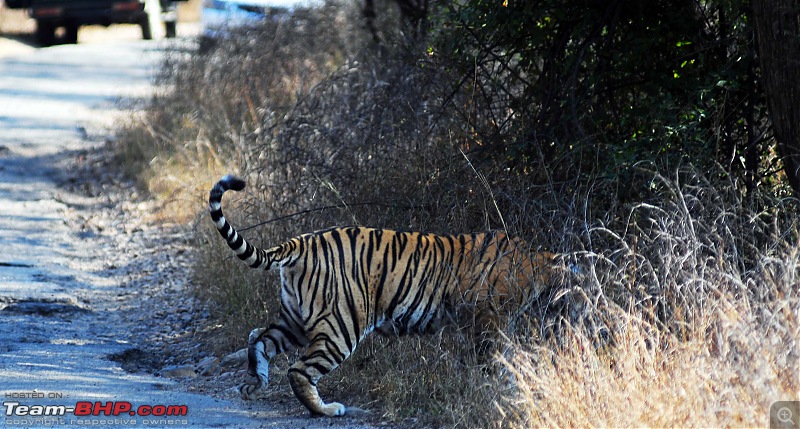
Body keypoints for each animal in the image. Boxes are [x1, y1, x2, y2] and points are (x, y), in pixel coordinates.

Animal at [206, 174, 556, 414]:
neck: (537, 264)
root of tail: (301, 241)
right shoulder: (489, 319)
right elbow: (495, 358)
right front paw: (502, 389)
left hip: (294, 320)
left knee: (259, 339)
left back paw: (254, 384)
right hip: (341, 326)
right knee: (299, 370)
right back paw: (326, 410)